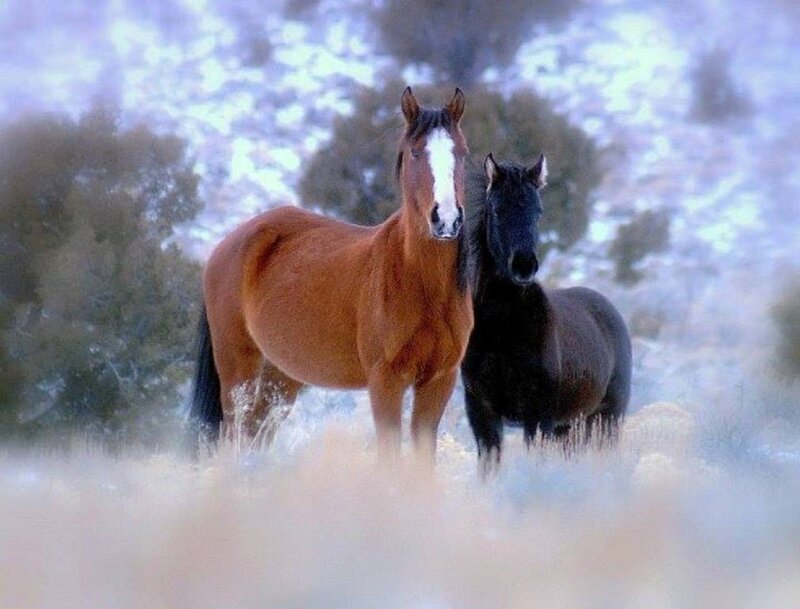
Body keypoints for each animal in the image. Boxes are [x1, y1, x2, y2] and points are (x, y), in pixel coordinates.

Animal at [189, 87, 473, 462]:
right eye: (416, 152)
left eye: (462, 153)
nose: (447, 219)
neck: (420, 283)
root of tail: (227, 244)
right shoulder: (386, 380)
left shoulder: (439, 380)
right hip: (238, 369)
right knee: (234, 433)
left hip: (281, 376)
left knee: (256, 433)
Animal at [460, 153, 632, 472]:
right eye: (498, 210)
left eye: (538, 211)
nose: (524, 265)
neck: (502, 332)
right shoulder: (482, 413)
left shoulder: (538, 416)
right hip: (570, 428)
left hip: (606, 419)